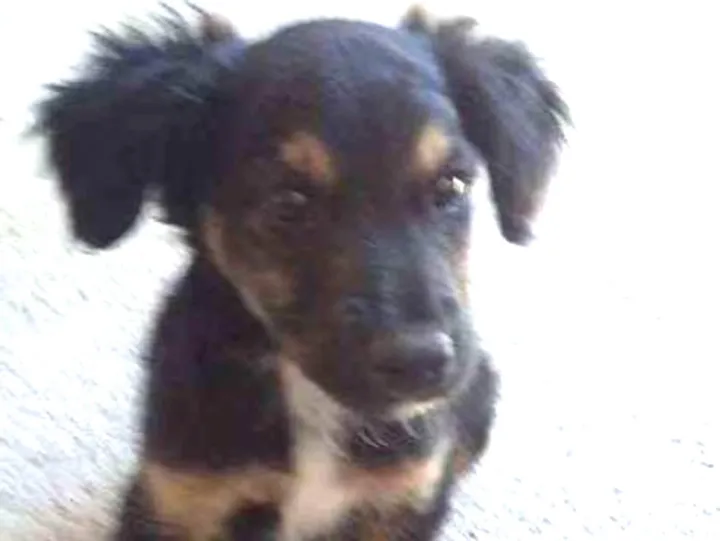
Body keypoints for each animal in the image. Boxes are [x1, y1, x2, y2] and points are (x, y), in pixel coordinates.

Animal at [35, 5, 569, 540]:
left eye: (451, 185)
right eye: (288, 203)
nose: (420, 361)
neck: (306, 395)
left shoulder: (400, 502)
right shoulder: (178, 499)